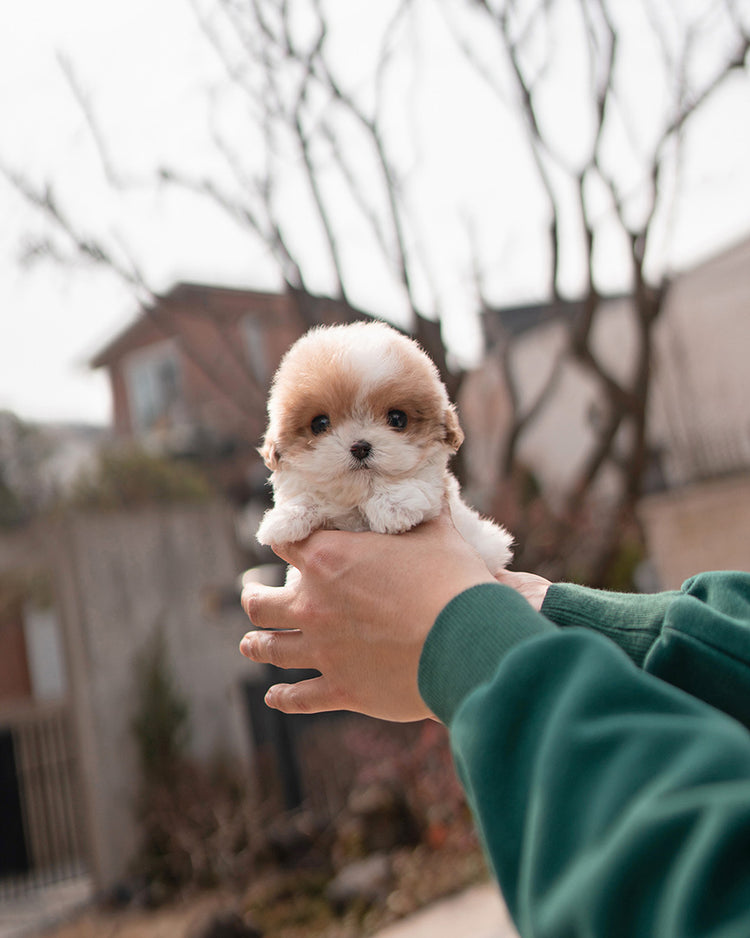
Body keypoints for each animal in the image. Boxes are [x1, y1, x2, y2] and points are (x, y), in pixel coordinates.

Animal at [256, 320, 516, 572]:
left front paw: (394, 505)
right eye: (320, 423)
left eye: (397, 419)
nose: (360, 447)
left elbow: (420, 483)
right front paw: (286, 517)